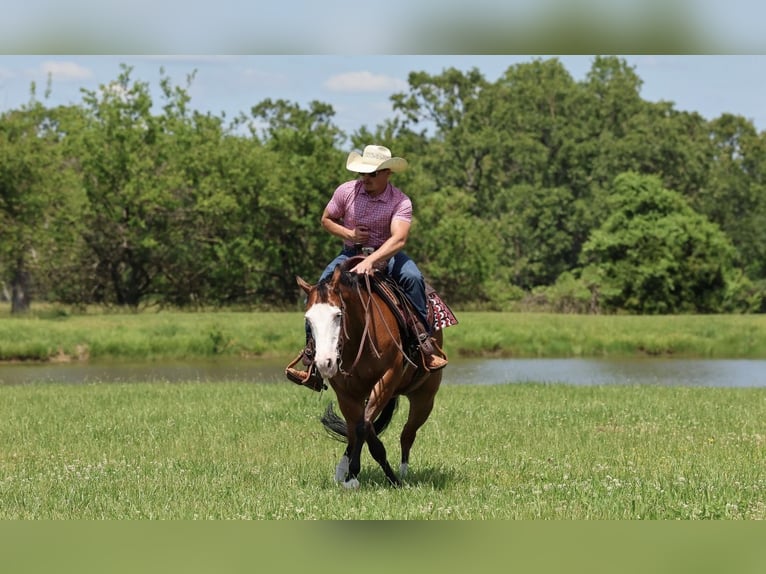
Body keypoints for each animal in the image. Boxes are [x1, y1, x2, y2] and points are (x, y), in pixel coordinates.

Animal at [295, 257, 448, 489]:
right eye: (308, 319)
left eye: (338, 314)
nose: (324, 363)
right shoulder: (346, 393)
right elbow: (363, 430)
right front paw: (350, 475)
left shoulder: (386, 379)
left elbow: (363, 427)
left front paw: (379, 478)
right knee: (355, 432)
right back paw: (342, 469)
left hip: (424, 398)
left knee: (407, 434)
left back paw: (403, 473)